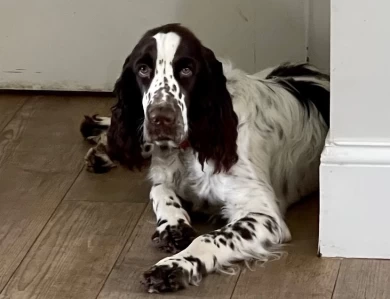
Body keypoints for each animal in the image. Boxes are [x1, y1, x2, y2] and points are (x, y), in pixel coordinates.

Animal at [79, 24, 330, 296]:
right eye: (143, 69)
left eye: (187, 69)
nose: (161, 119)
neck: (191, 147)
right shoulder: (164, 173)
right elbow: (160, 191)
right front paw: (173, 227)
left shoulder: (264, 215)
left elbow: (210, 238)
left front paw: (172, 267)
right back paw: (100, 140)